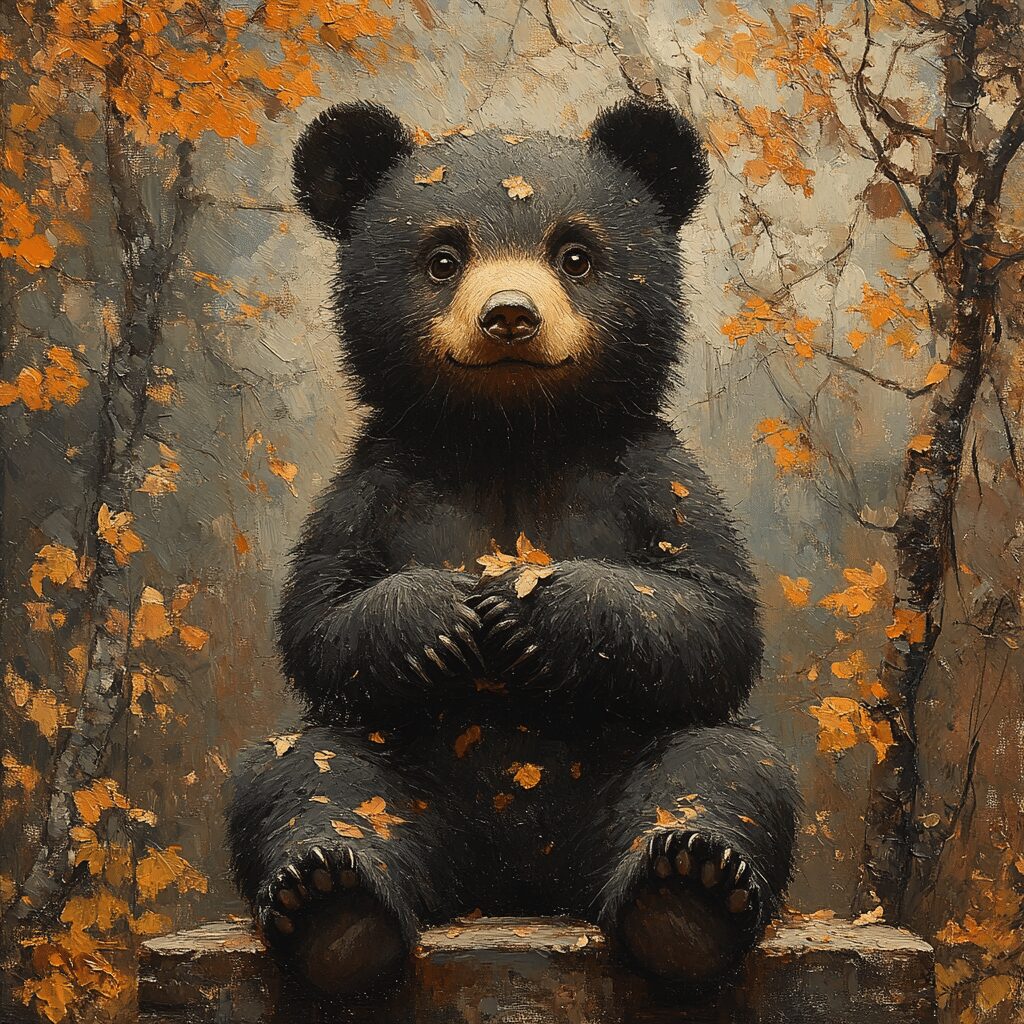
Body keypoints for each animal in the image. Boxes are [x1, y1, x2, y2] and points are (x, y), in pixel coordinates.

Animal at [227, 98, 799, 998]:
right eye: (442, 257)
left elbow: (710, 611)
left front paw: (530, 606)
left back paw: (687, 896)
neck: (511, 433)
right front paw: (444, 614)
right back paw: (332, 905)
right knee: (303, 775)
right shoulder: (380, 480)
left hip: (616, 762)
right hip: (409, 774)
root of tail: (515, 879)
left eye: (575, 255)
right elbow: (322, 612)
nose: (509, 317)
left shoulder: (648, 472)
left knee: (727, 768)